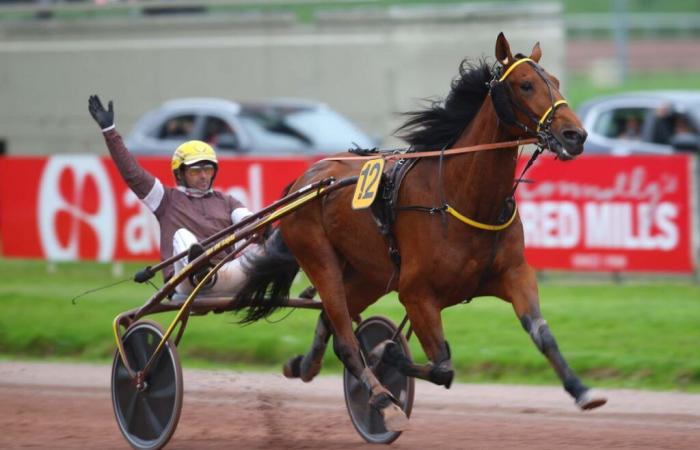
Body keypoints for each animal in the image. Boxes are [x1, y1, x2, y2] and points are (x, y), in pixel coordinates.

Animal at [232, 32, 604, 428]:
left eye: (557, 81)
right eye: (525, 84)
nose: (575, 135)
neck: (460, 196)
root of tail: (305, 179)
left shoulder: (514, 274)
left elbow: (542, 333)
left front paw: (582, 390)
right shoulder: (416, 294)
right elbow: (442, 366)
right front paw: (387, 354)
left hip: (369, 275)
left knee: (328, 320)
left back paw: (304, 365)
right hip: (320, 258)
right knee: (345, 337)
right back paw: (382, 401)